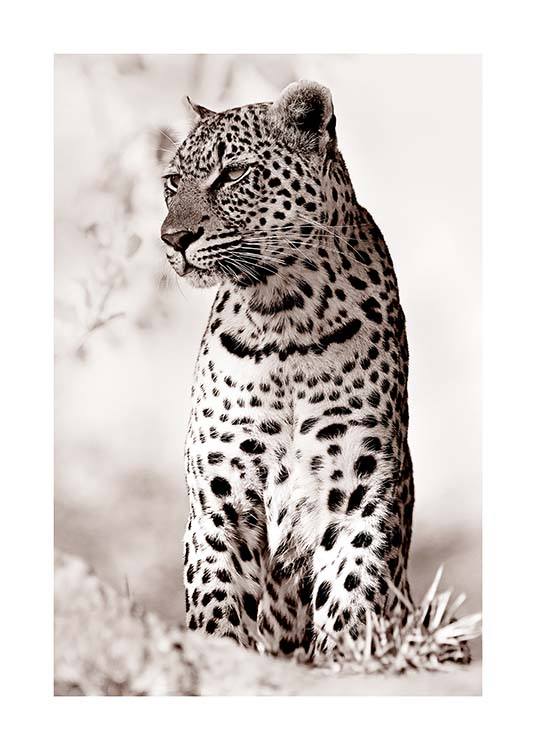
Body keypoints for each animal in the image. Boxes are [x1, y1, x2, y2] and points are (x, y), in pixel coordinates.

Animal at [160, 80, 414, 663]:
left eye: (232, 173)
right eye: (171, 182)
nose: (172, 238)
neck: (286, 318)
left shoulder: (361, 488)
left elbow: (352, 589)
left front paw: (347, 658)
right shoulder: (219, 495)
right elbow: (216, 598)